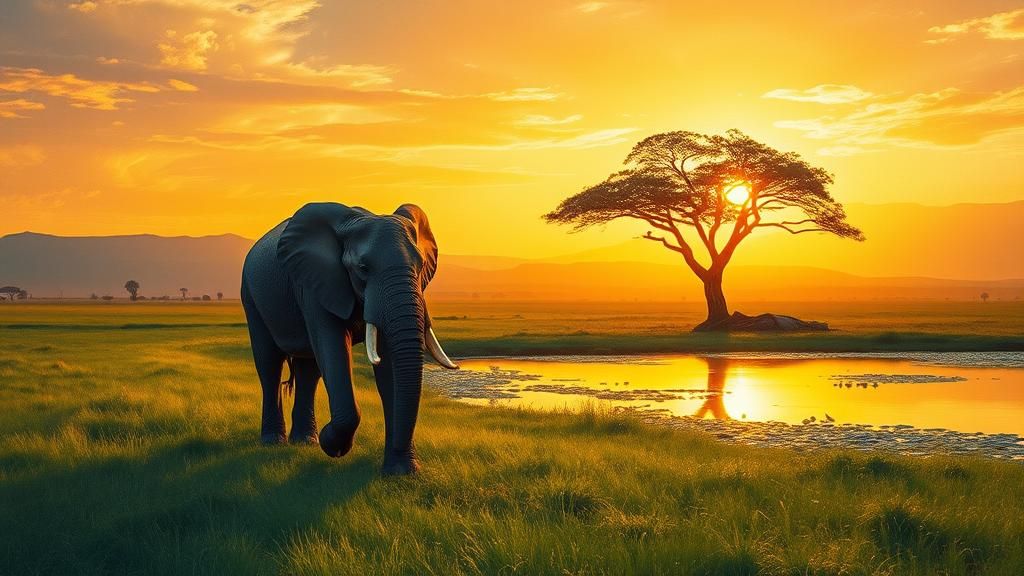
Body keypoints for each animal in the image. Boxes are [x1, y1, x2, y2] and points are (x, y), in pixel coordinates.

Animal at [240, 202, 458, 475]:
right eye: (363, 269)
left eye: (420, 267)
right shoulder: (314, 283)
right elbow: (333, 347)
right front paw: (332, 445)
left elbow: (389, 368)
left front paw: (400, 472)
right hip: (250, 295)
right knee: (269, 363)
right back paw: (275, 442)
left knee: (308, 370)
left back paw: (305, 441)